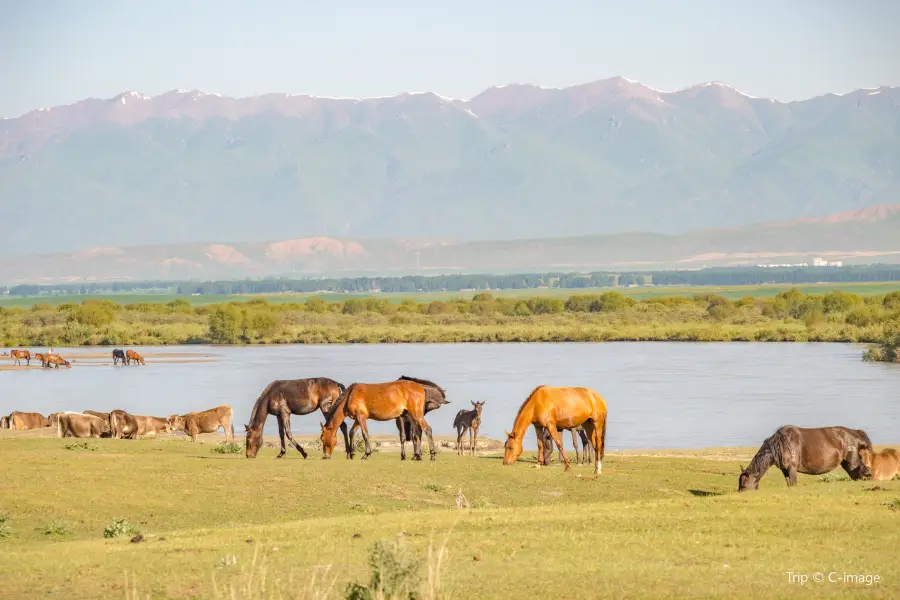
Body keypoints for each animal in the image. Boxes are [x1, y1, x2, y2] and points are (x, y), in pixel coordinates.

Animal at [740, 424, 872, 490]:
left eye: (743, 484)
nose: (740, 491)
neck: (780, 445)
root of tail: (855, 432)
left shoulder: (792, 468)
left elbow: (793, 483)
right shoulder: (785, 470)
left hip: (852, 462)